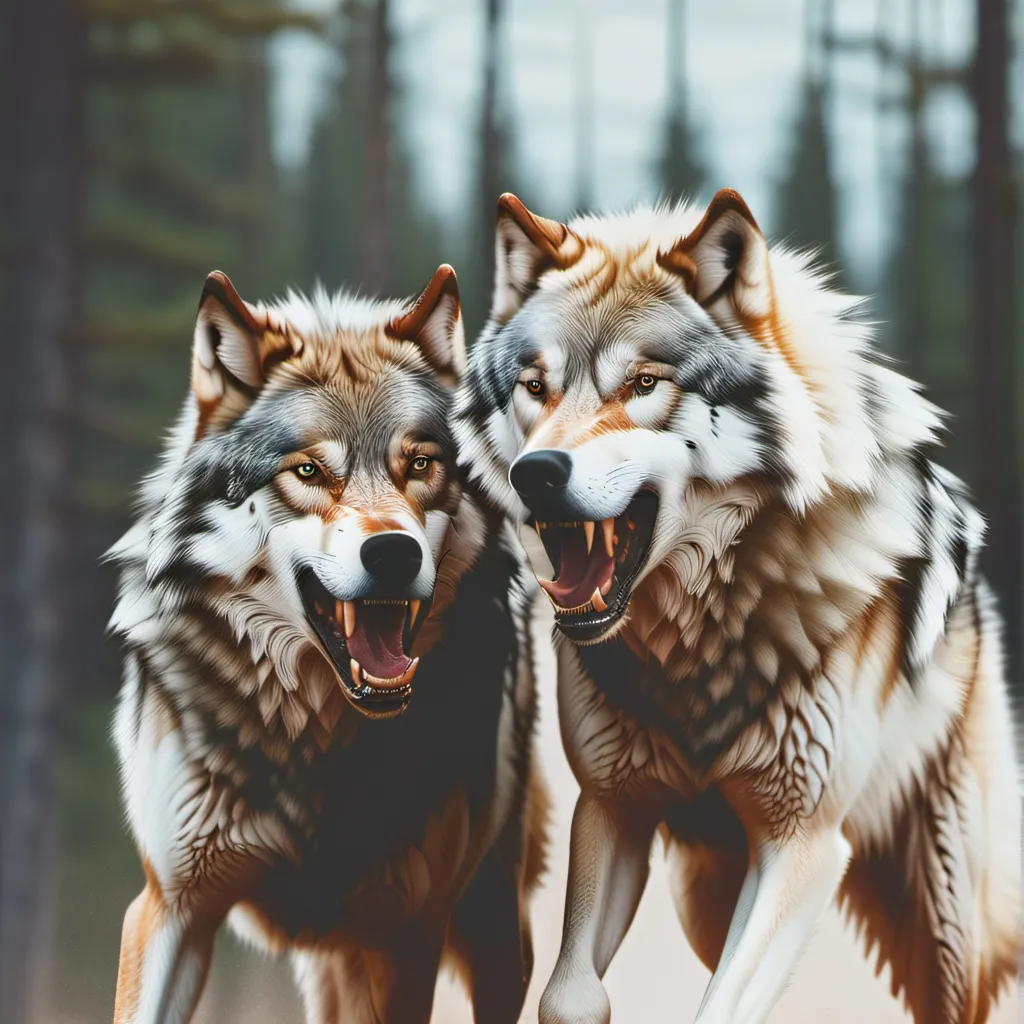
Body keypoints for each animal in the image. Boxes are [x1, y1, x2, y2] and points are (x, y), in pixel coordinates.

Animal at [108, 265, 547, 1024]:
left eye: (421, 465)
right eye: (308, 472)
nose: (395, 553)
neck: (312, 739)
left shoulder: (410, 934)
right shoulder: (169, 910)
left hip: (492, 929)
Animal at [455, 190, 1021, 1024]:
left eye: (643, 385)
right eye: (536, 386)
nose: (537, 474)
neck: (700, 636)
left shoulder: (802, 845)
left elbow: (719, 1007)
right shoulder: (613, 807)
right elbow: (568, 996)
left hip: (948, 925)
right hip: (706, 899)